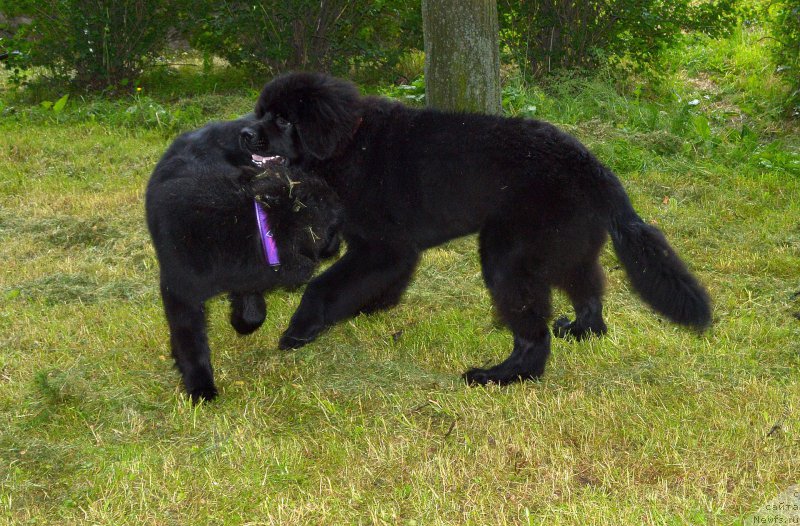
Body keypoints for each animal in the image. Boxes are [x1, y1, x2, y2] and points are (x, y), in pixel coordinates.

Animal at [145, 116, 342, 404]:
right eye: (334, 226)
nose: (339, 244)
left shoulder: (246, 272)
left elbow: (252, 309)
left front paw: (242, 323)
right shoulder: (180, 291)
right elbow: (190, 341)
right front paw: (201, 387)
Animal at [244, 73, 712, 388]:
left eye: (283, 120)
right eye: (262, 113)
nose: (246, 132)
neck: (348, 142)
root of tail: (591, 165)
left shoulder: (384, 246)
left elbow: (324, 286)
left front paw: (299, 330)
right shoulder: (381, 249)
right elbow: (368, 284)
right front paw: (368, 307)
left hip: (508, 253)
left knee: (533, 334)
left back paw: (502, 376)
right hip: (567, 245)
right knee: (590, 293)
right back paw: (581, 331)